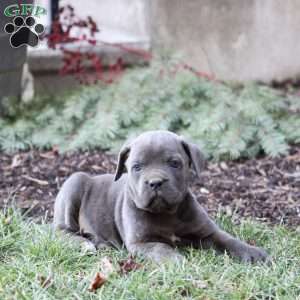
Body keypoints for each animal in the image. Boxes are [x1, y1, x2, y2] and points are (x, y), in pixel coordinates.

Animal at [52, 130, 268, 264]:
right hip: (74, 183)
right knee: (62, 231)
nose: (155, 182)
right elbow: (160, 248)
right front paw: (175, 260)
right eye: (137, 167)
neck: (166, 213)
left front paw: (253, 253)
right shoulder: (141, 243)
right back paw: (84, 244)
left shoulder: (208, 233)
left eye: (174, 163)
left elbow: (229, 240)